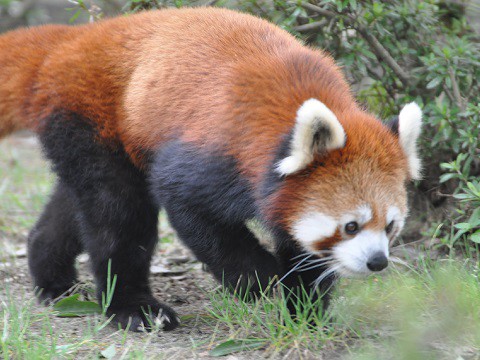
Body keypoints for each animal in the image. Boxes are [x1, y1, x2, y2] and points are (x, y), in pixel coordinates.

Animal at [0, 7, 420, 332]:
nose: (377, 261)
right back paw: (135, 309)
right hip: (94, 113)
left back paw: (51, 278)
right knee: (117, 213)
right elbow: (194, 213)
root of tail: (73, 39)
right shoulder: (213, 154)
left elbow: (304, 252)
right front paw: (259, 278)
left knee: (76, 203)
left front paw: (306, 313)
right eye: (351, 225)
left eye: (390, 226)